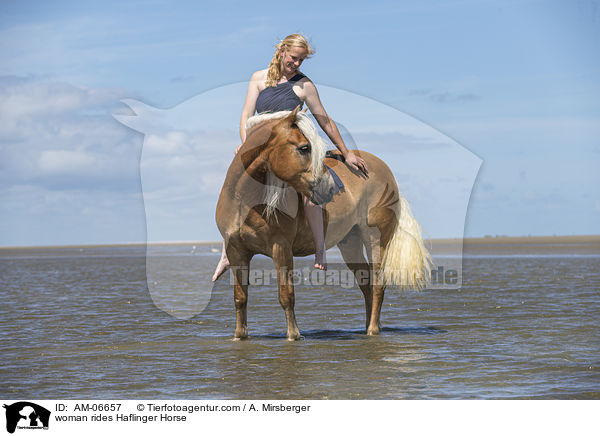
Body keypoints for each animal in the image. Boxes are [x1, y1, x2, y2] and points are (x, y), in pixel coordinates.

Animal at [216, 105, 432, 340]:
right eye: (304, 148)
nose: (329, 188)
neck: (244, 200)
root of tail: (385, 171)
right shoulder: (237, 250)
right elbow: (240, 297)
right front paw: (239, 335)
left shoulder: (280, 248)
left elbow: (286, 295)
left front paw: (293, 335)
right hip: (350, 243)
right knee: (366, 284)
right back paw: (368, 327)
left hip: (376, 240)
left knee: (378, 284)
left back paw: (373, 330)